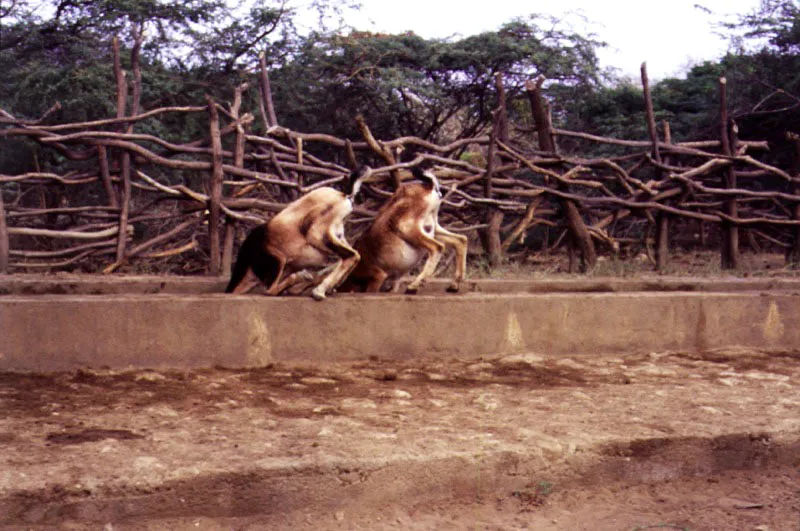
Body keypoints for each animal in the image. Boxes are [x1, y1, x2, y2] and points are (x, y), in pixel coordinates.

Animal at [227, 167, 370, 300]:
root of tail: (343, 195)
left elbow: (271, 290)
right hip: (337, 235)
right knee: (354, 256)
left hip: (316, 235)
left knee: (351, 255)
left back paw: (318, 291)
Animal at [340, 167, 466, 296]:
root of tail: (429, 186)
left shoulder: (377, 276)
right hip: (433, 229)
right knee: (460, 240)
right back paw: (453, 286)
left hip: (408, 229)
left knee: (438, 247)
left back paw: (412, 287)